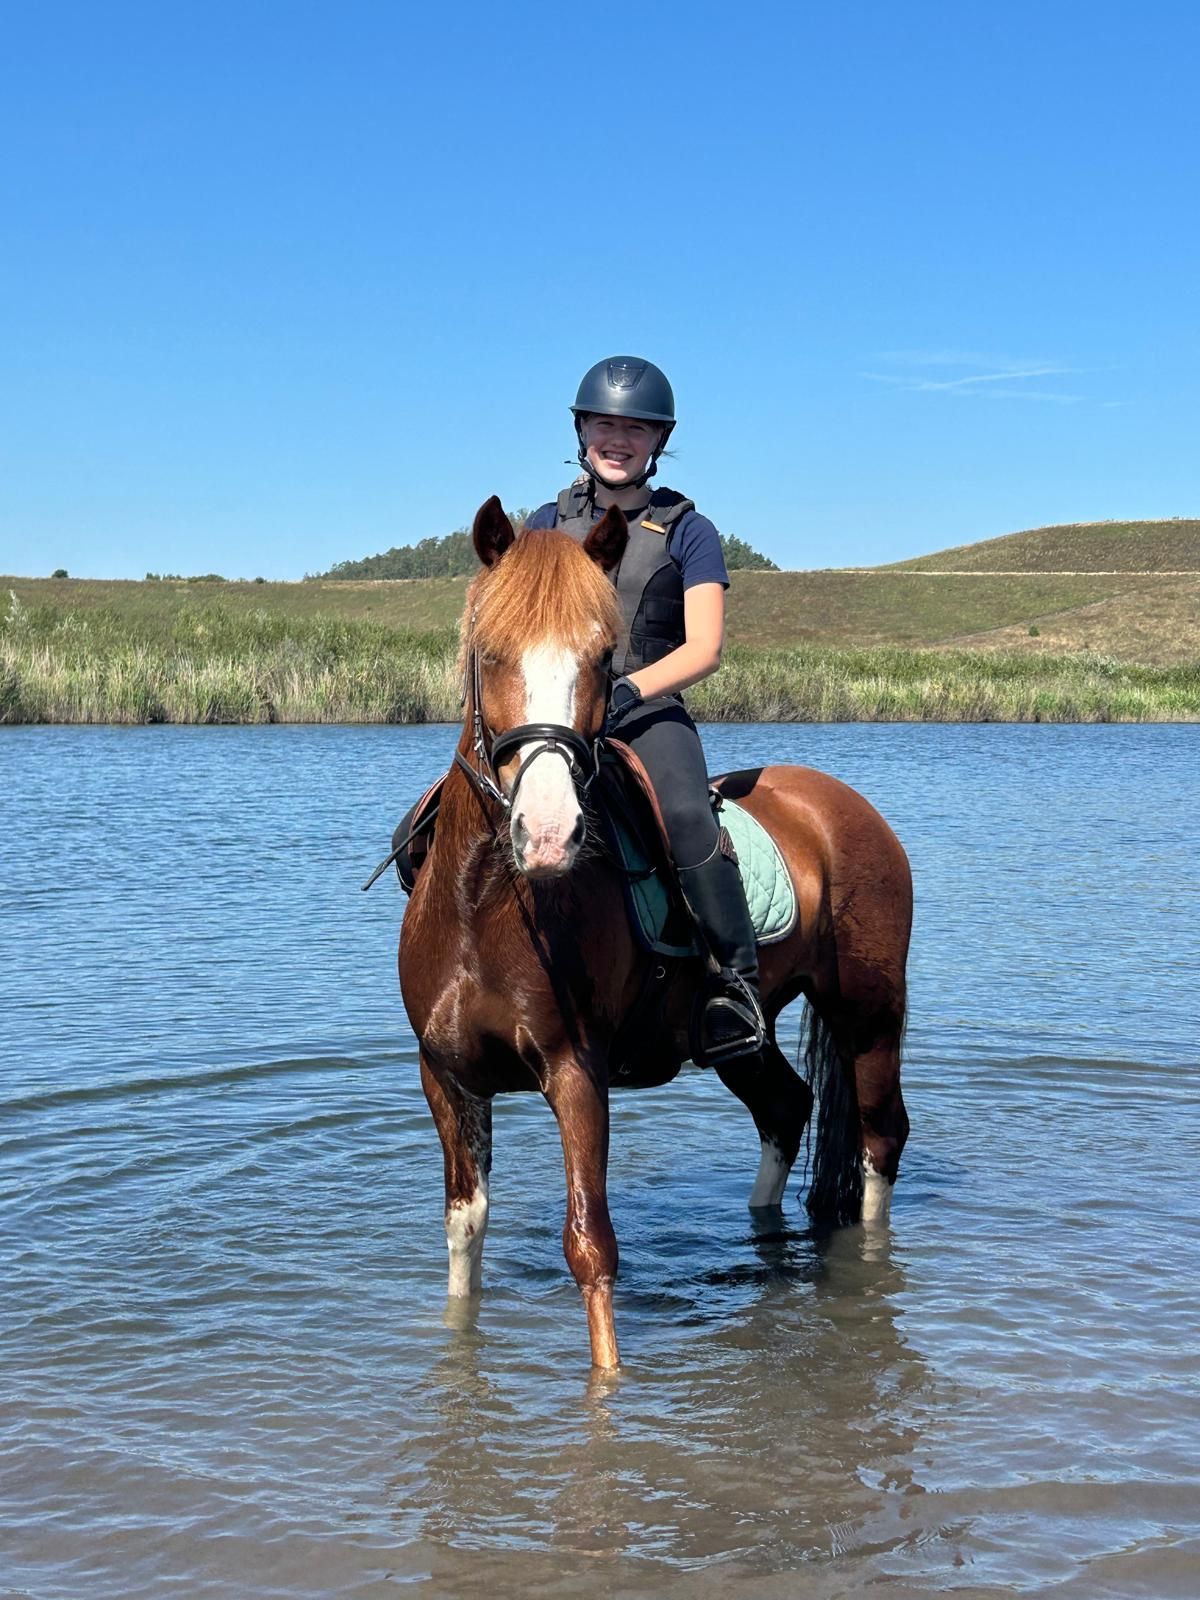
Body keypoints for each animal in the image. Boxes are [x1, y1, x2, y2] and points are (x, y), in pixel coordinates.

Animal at [397, 497, 912, 1370]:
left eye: (604, 657)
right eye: (489, 651)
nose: (548, 834)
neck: (486, 903)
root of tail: (844, 804)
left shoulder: (577, 1071)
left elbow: (591, 1246)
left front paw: (607, 1389)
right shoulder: (448, 1077)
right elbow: (464, 1235)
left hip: (869, 1017)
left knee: (881, 1142)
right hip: (742, 1037)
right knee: (787, 1108)